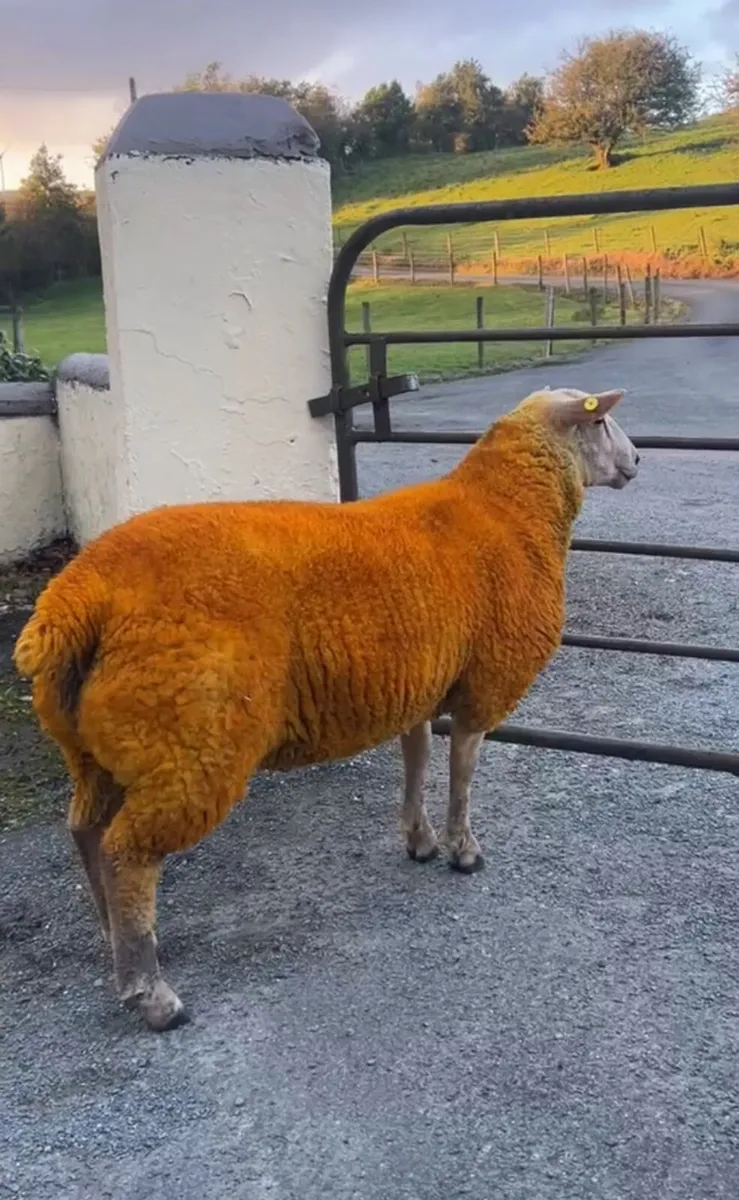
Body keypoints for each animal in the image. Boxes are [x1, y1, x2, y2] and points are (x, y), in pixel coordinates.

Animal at [14, 384, 639, 1032]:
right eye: (603, 422)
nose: (637, 461)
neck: (507, 508)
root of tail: (77, 597)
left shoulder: (415, 682)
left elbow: (416, 759)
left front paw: (419, 839)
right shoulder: (486, 684)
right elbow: (462, 774)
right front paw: (463, 850)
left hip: (100, 748)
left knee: (87, 833)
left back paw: (113, 935)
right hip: (188, 743)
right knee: (126, 854)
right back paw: (151, 993)